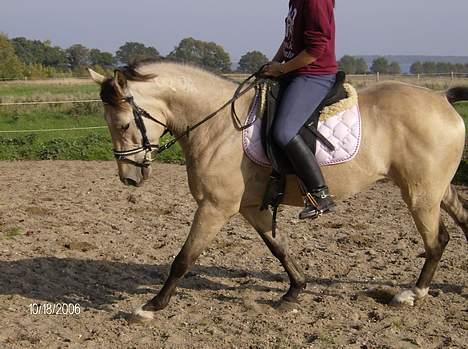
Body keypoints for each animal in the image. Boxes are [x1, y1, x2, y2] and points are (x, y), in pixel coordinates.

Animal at [88, 61, 468, 320]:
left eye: (123, 124)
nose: (129, 178)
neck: (218, 126)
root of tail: (441, 98)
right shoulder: (249, 207)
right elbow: (278, 248)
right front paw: (295, 291)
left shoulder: (214, 207)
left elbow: (184, 258)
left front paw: (151, 306)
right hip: (438, 190)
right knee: (461, 224)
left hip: (421, 194)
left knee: (437, 240)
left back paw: (413, 294)